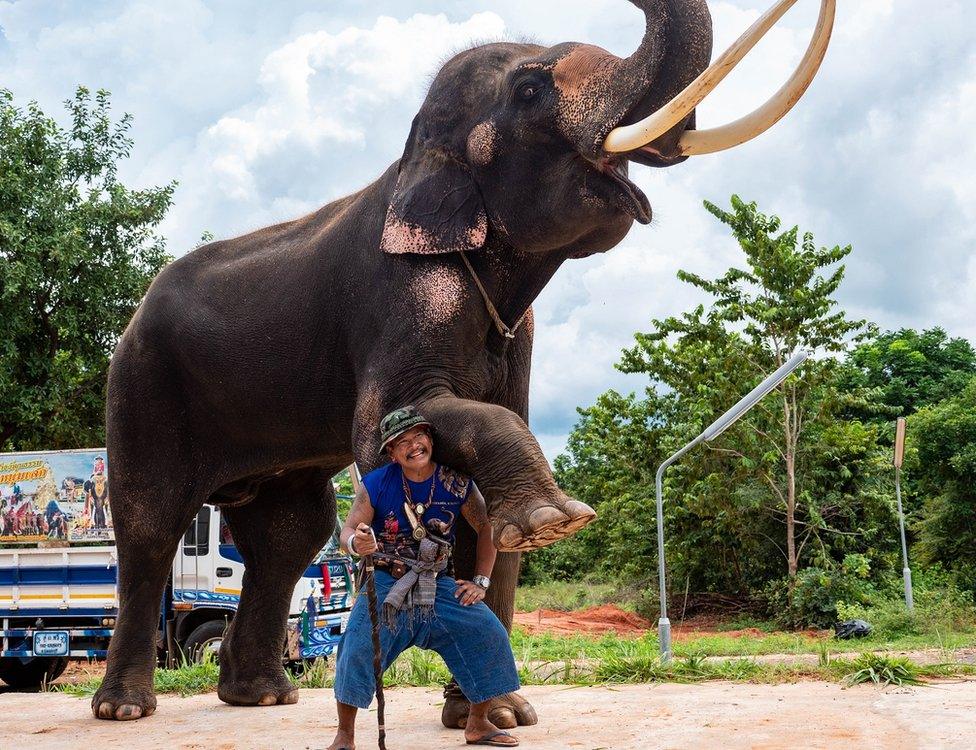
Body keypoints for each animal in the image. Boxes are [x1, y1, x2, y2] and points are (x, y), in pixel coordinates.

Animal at [95, 0, 836, 724]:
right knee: (151, 523)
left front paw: (499, 714)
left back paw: (263, 697)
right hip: (141, 383)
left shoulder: (517, 332)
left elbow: (485, 490)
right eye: (530, 90)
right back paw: (126, 709)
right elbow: (389, 428)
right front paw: (553, 520)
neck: (413, 155)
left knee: (289, 535)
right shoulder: (400, 295)